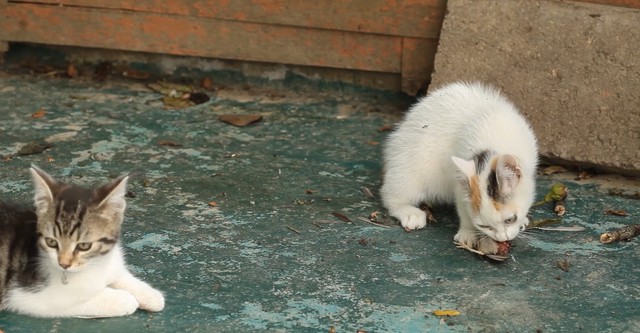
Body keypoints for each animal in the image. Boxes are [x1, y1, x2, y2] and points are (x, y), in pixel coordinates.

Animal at [0, 166, 165, 316]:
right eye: (51, 242)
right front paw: (123, 299)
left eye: (84, 246)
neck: (94, 263)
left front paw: (150, 295)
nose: (64, 264)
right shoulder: (25, 294)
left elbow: (120, 275)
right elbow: (76, 299)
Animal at [382, 81, 536, 253]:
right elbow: (462, 204)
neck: (495, 144)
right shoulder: (459, 181)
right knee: (391, 194)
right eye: (484, 226)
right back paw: (408, 211)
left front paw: (523, 220)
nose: (502, 238)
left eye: (511, 219)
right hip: (409, 165)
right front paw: (468, 232)